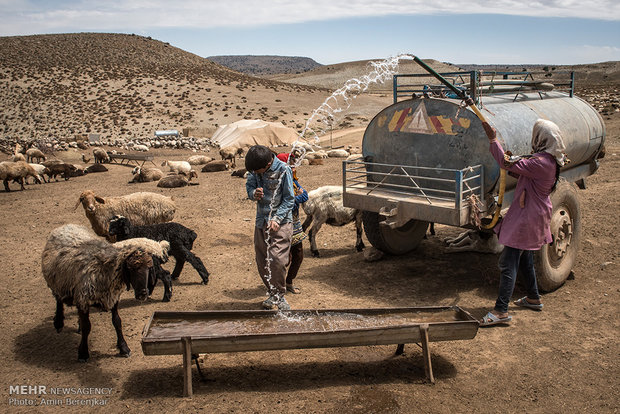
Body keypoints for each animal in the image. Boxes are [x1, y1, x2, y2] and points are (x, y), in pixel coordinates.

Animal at [41, 223, 170, 362]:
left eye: (148, 268)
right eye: (130, 268)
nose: (143, 294)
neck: (104, 268)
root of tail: (66, 225)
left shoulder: (112, 297)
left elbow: (117, 322)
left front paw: (124, 348)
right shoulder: (83, 299)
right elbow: (87, 327)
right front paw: (83, 353)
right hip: (57, 281)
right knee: (58, 300)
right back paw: (58, 322)